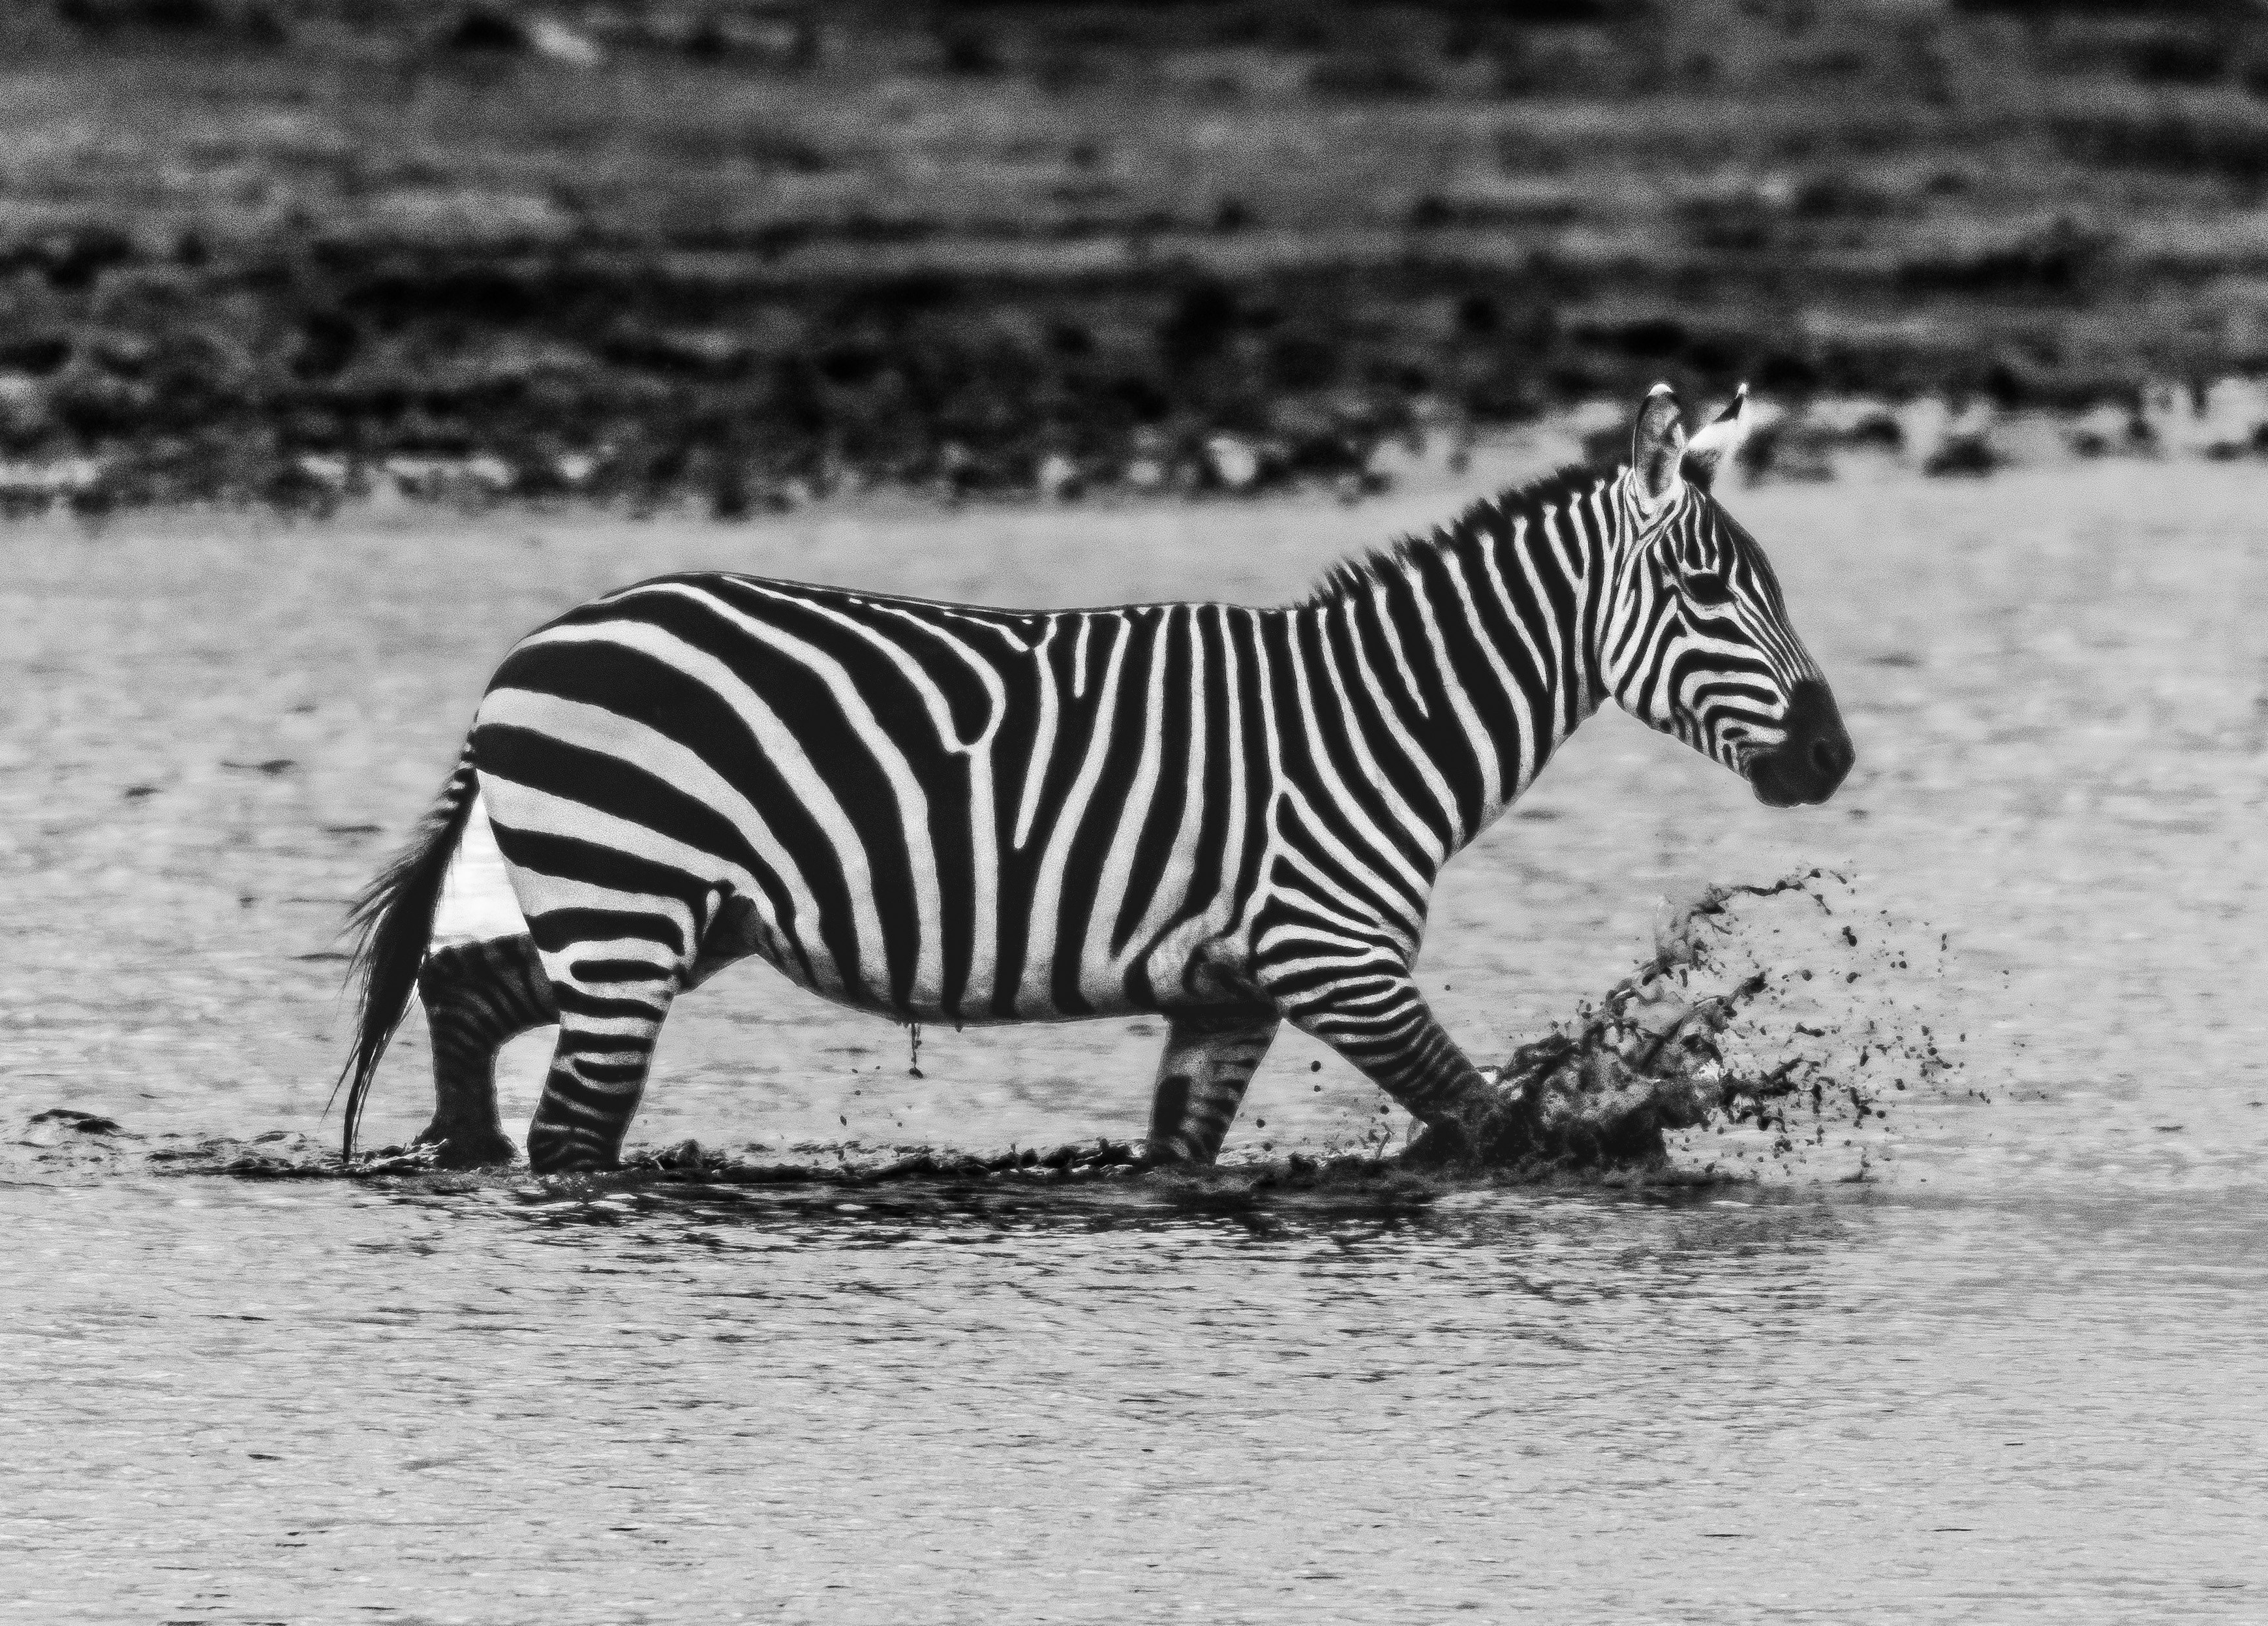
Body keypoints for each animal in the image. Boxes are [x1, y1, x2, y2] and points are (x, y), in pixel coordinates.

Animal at [336, 383, 1853, 1173]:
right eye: (1709, 592)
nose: (1832, 757)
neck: (1382, 717)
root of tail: (533, 647)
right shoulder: (1336, 959)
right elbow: (1483, 1118)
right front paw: (1591, 1151)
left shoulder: (1231, 991)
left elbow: (1177, 1156)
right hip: (633, 901)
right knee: (574, 1126)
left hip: (669, 916)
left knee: (467, 995)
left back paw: (458, 1154)